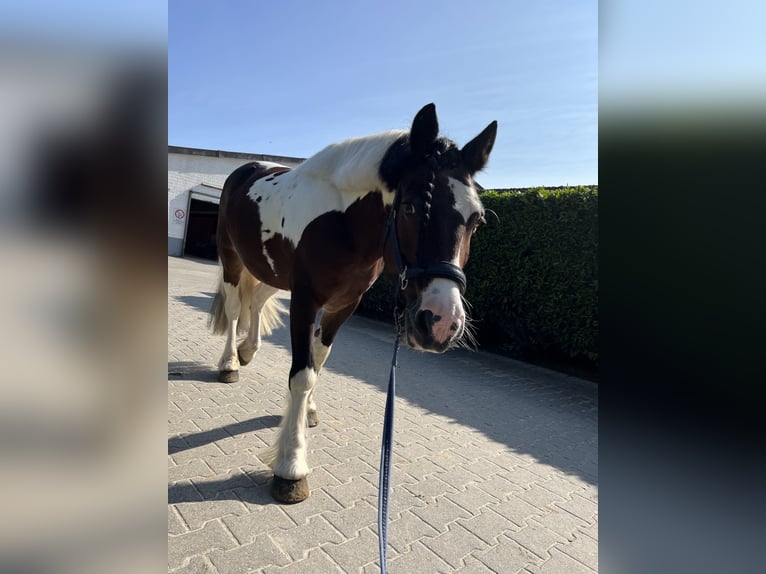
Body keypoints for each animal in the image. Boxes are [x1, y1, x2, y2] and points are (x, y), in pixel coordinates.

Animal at [208, 103, 497, 503]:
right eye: (410, 208)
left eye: (476, 220)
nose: (441, 322)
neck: (342, 224)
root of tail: (247, 169)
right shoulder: (306, 300)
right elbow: (302, 373)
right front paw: (291, 466)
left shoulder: (342, 305)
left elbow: (318, 360)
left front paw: (308, 410)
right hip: (232, 258)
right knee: (237, 308)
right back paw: (230, 363)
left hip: (271, 271)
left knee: (258, 301)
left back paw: (247, 351)